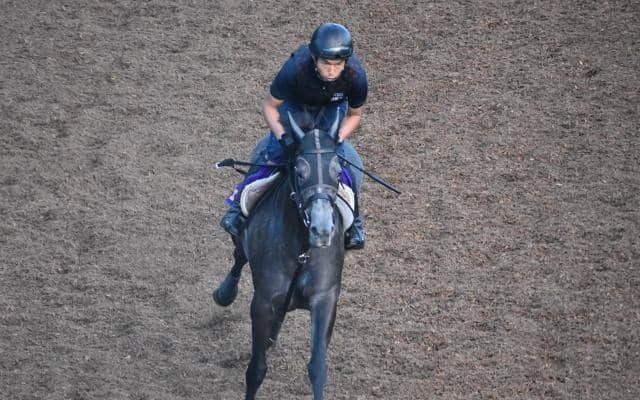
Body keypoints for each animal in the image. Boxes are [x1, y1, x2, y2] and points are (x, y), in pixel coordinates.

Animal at [218, 111, 348, 400]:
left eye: (336, 172)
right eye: (299, 172)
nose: (323, 229)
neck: (301, 250)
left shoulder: (325, 299)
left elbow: (317, 368)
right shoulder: (263, 303)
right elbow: (256, 370)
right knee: (238, 258)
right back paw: (225, 292)